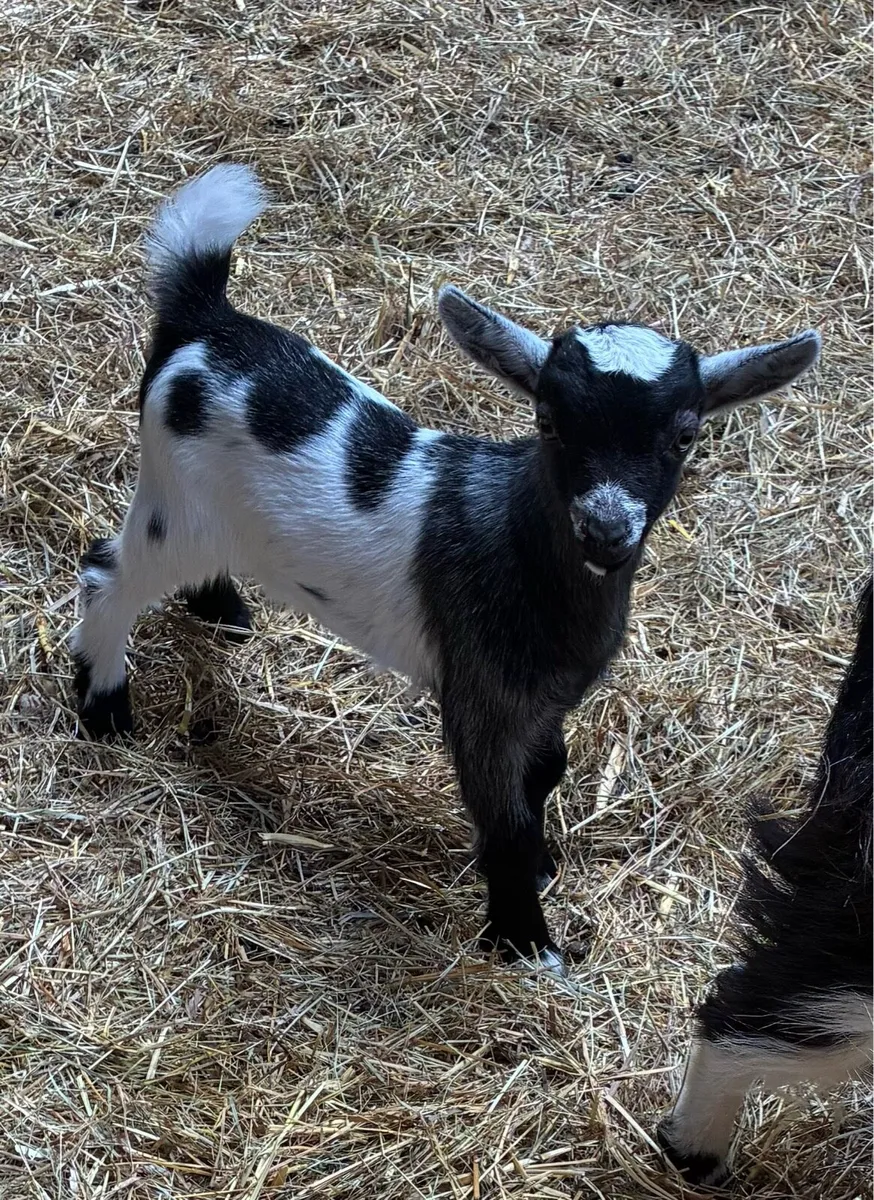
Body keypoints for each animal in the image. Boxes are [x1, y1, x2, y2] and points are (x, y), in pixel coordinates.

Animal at [72, 163, 822, 970]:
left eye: (684, 435)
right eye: (548, 421)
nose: (605, 529)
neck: (518, 549)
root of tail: (203, 320)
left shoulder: (544, 700)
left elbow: (546, 773)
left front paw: (541, 870)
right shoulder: (478, 696)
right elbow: (505, 818)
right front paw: (525, 941)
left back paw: (223, 610)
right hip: (171, 508)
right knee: (106, 575)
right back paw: (105, 709)